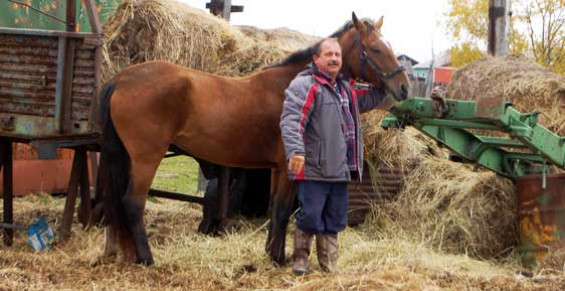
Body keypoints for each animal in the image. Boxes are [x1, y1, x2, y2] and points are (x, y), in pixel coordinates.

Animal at [98, 12, 410, 266]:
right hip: (147, 158)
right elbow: (283, 210)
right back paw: (147, 259)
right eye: (375, 49)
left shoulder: (275, 168)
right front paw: (280, 260)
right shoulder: (288, 167)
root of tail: (122, 79)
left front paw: (272, 253)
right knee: (133, 204)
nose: (404, 87)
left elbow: (273, 208)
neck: (291, 85)